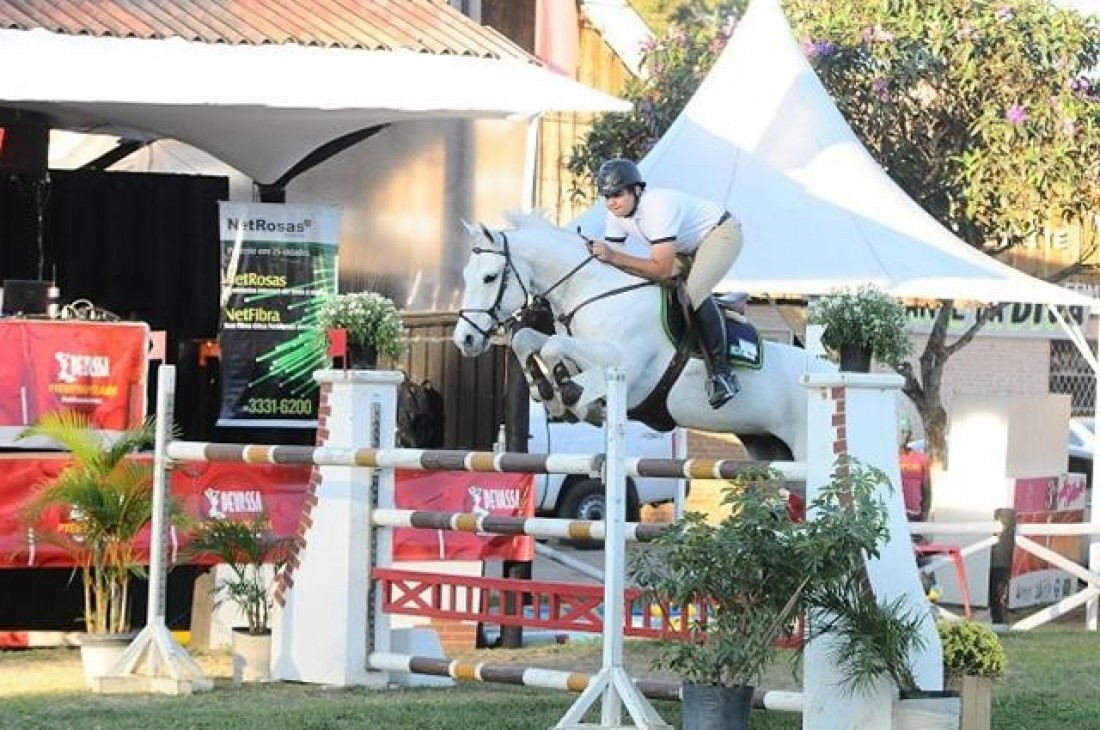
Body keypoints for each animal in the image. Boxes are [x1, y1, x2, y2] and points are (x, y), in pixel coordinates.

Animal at [452, 213, 836, 461]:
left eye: (489, 277)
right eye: (465, 275)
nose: (464, 340)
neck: (592, 291)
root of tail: (835, 376)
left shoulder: (627, 364)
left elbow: (553, 346)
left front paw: (573, 397)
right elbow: (530, 340)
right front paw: (549, 394)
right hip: (770, 449)